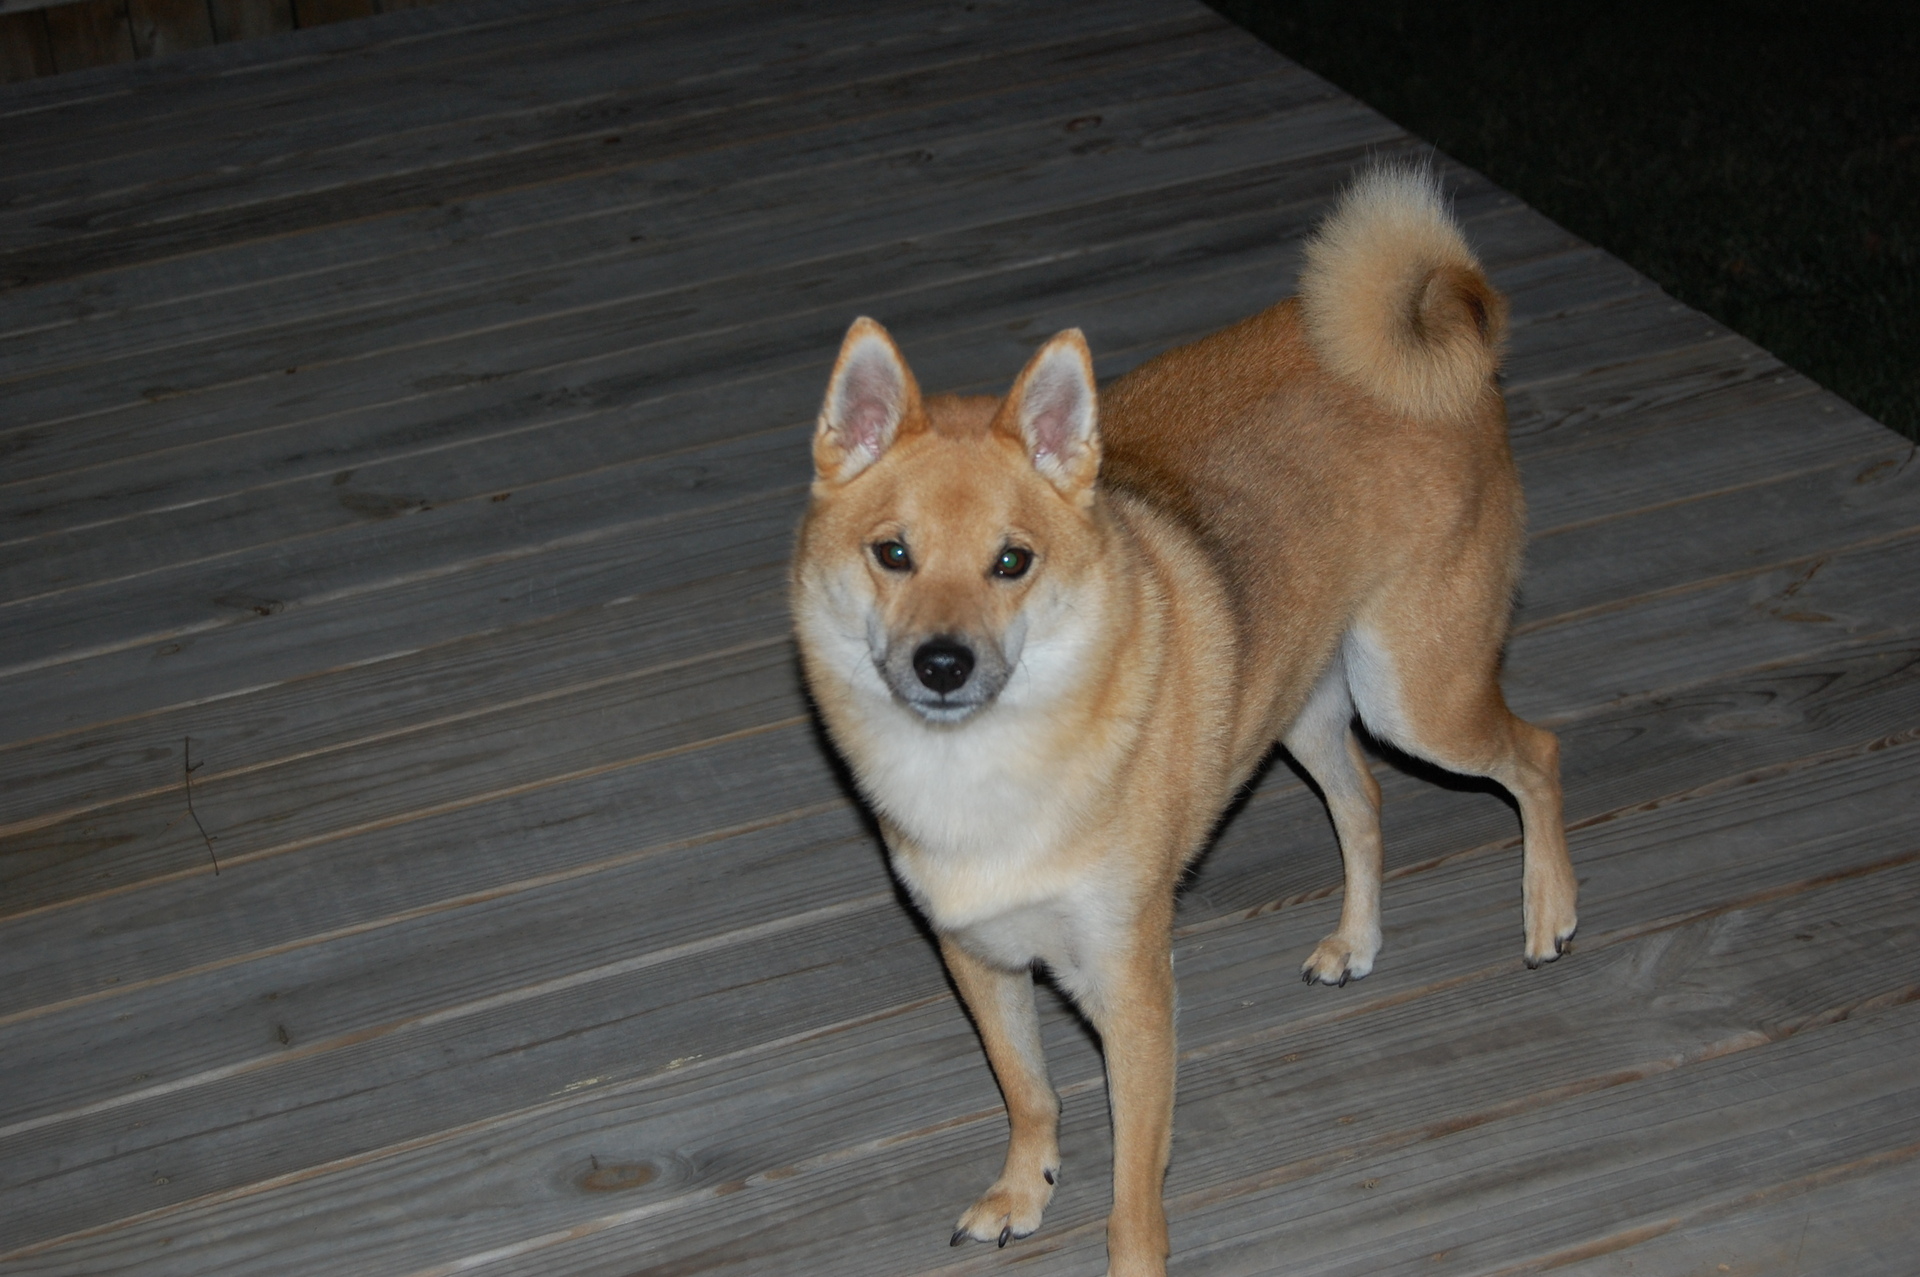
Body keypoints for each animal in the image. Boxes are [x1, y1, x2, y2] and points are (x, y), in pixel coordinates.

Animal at [787, 167, 1582, 1275]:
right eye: (891, 553)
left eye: (1011, 561)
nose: (943, 663)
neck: (981, 767)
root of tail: (1435, 343)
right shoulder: (980, 957)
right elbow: (1029, 1091)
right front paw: (1021, 1187)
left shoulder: (1130, 984)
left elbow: (1134, 1186)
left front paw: (1128, 1253)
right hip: (1303, 700)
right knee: (1366, 802)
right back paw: (1357, 938)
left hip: (1417, 695)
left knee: (1536, 753)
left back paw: (1549, 908)